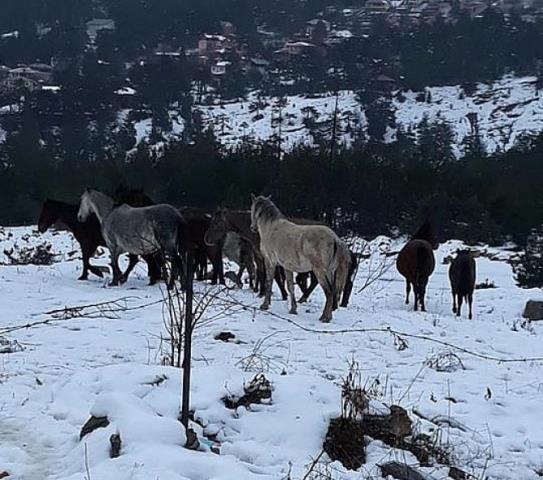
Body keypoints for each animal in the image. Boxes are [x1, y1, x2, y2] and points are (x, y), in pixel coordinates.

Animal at [250, 194, 350, 322]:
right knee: (332, 291)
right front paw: (293, 309)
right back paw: (328, 316)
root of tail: (335, 238)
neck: (271, 228)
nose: (252, 227)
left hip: (320, 271)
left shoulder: (270, 262)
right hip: (329, 271)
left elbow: (269, 282)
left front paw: (264, 305)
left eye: (252, 209)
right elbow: (290, 286)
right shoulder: (287, 266)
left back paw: (324, 318)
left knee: (328, 291)